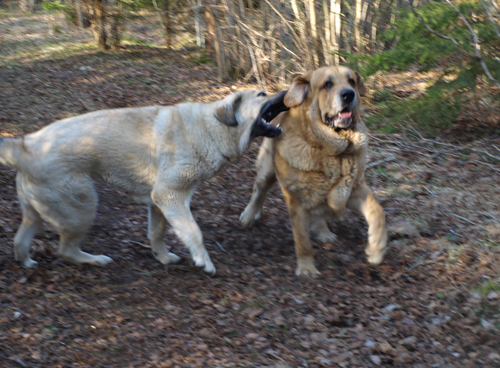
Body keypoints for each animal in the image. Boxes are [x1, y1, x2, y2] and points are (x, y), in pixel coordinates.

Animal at [0, 90, 288, 274]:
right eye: (261, 94)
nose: (287, 91)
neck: (211, 128)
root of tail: (24, 146)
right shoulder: (170, 195)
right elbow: (193, 231)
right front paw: (203, 261)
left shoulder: (159, 203)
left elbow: (156, 232)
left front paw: (162, 257)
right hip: (82, 208)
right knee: (65, 249)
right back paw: (94, 260)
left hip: (37, 212)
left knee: (20, 242)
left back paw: (27, 263)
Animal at [240, 67, 388, 276]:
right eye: (327, 84)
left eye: (351, 81)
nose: (348, 94)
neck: (331, 151)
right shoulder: (295, 199)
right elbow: (302, 239)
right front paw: (307, 268)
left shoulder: (354, 189)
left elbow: (377, 212)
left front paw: (376, 249)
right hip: (267, 170)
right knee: (258, 190)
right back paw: (249, 214)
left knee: (319, 211)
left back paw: (323, 231)